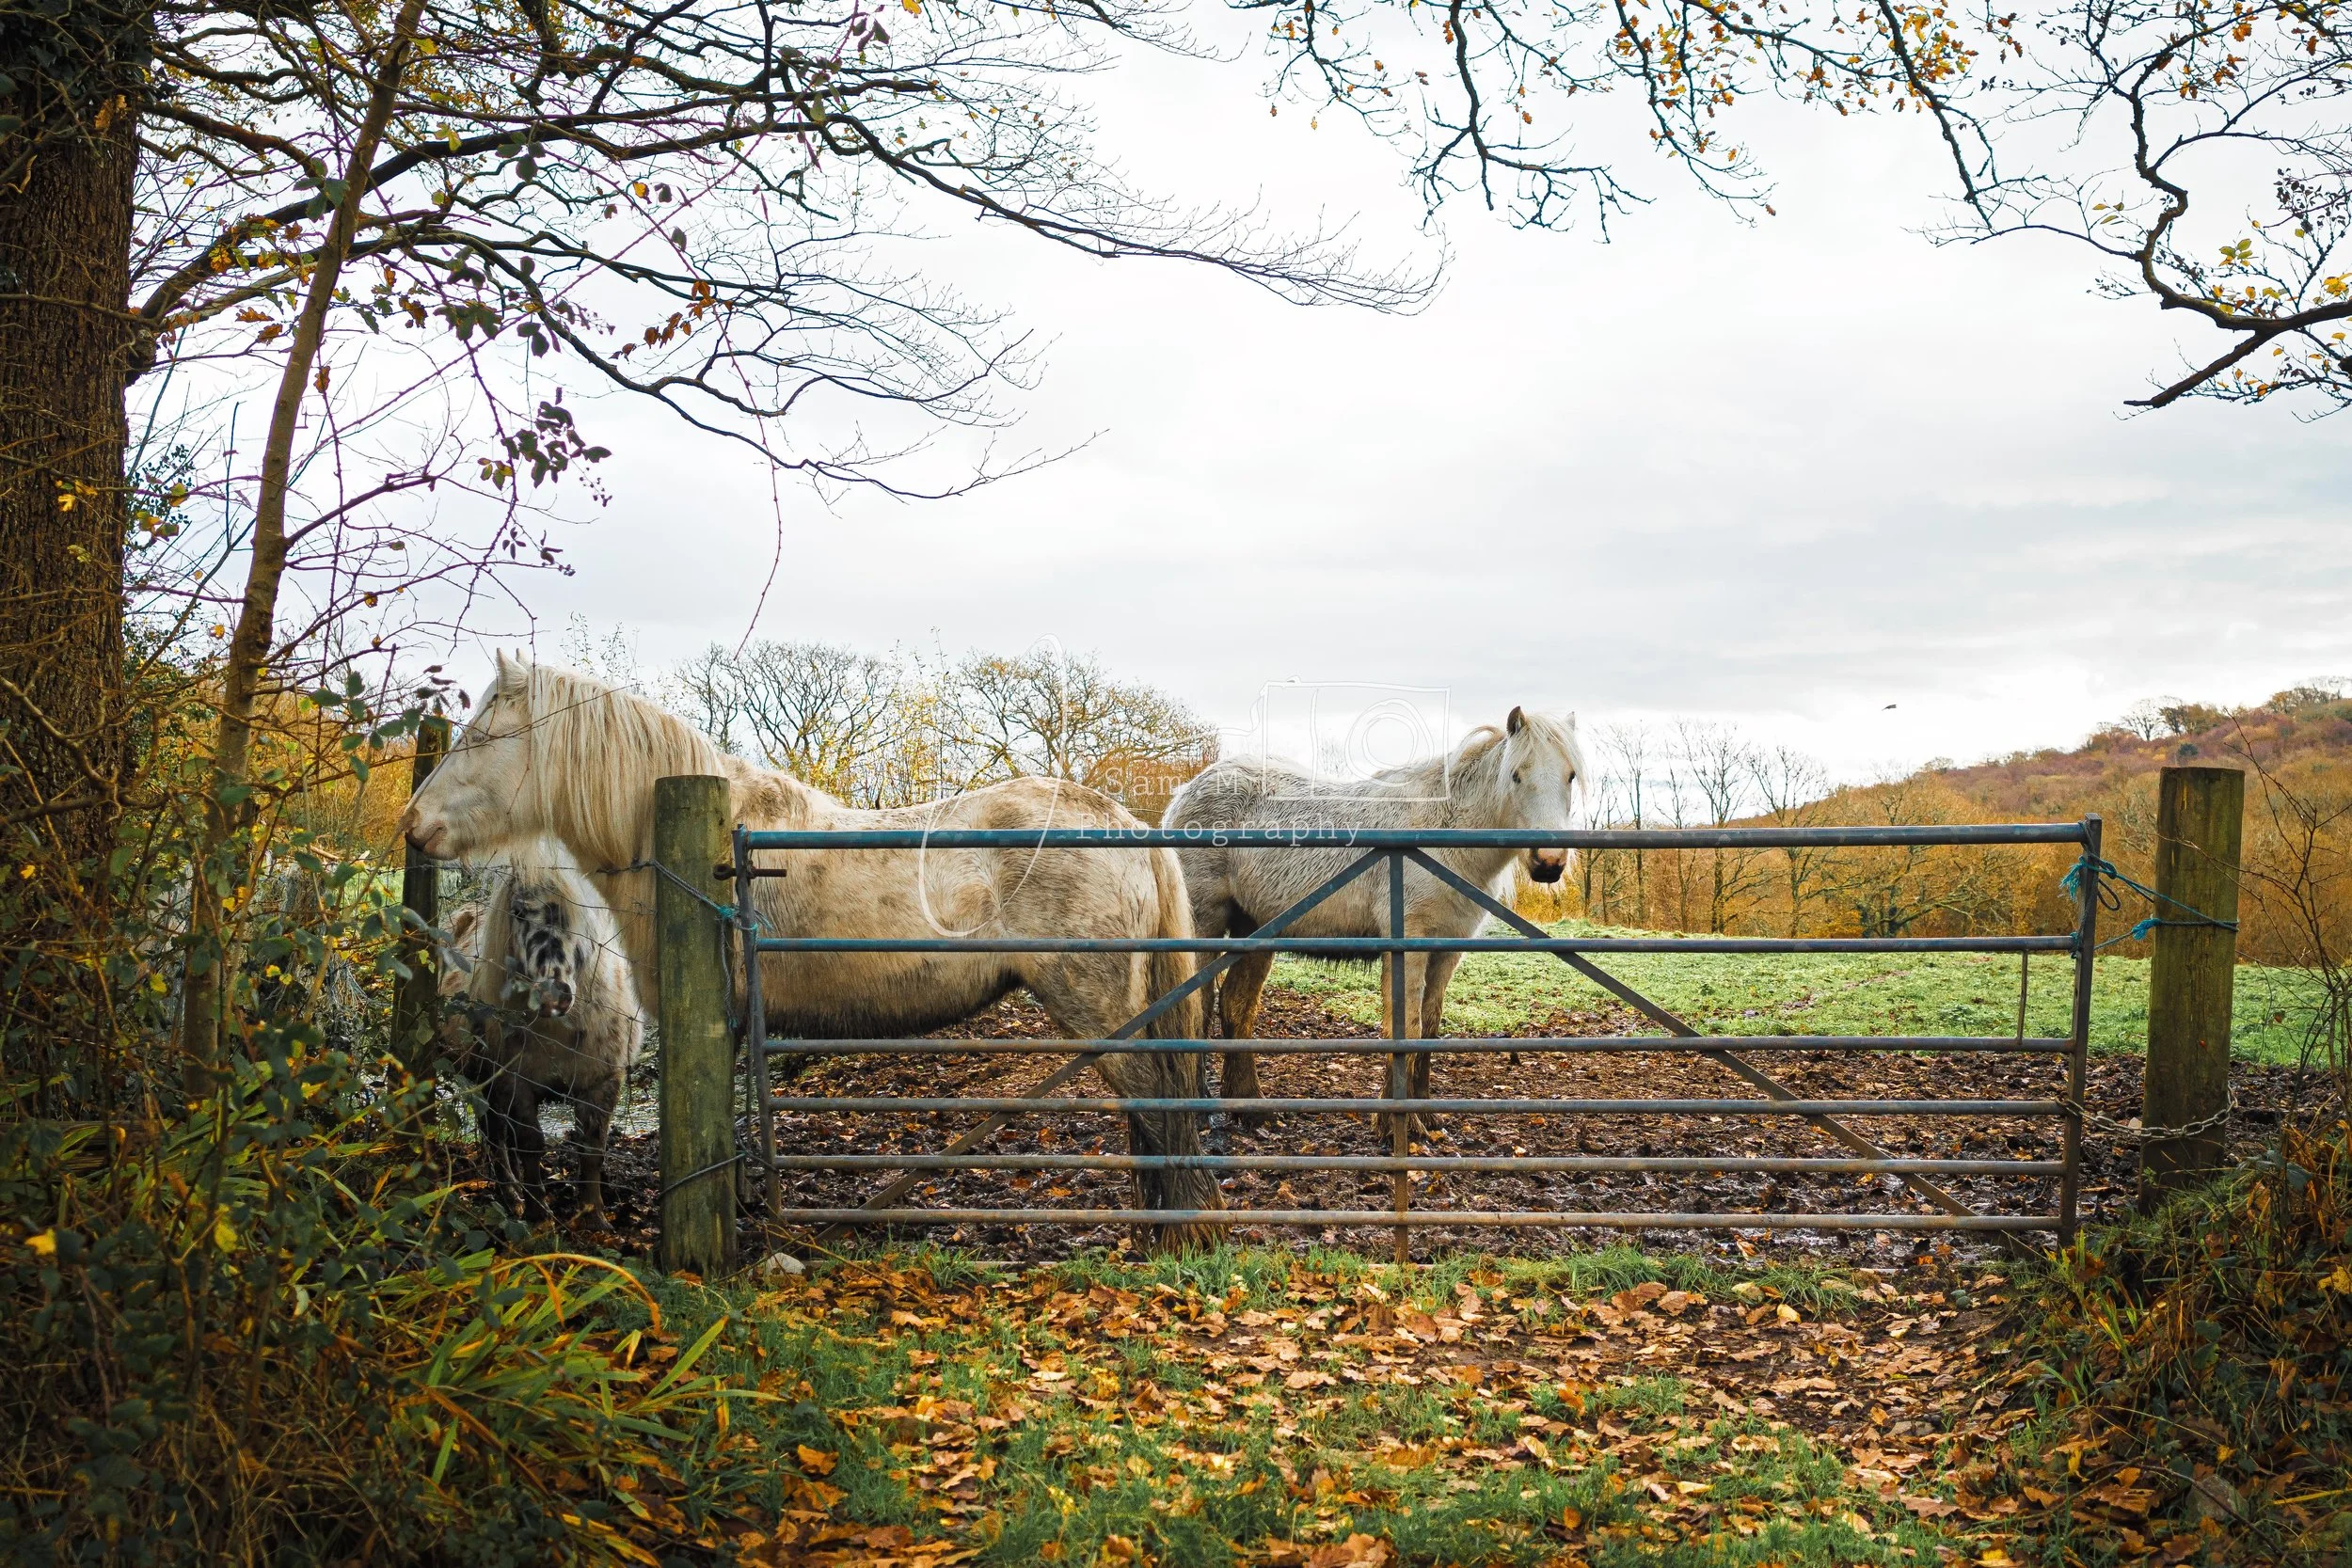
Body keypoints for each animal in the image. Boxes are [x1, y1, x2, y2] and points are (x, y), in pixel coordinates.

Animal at [437, 848, 643, 1225]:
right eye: (518, 912)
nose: (551, 995)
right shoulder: (516, 1084)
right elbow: (530, 1144)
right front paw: (537, 1213)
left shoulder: (602, 1084)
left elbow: (592, 1148)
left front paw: (594, 1216)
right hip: (485, 1082)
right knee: (495, 1136)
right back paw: (512, 1196)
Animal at [1162, 706, 1583, 1127]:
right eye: (1516, 775)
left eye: (1570, 776)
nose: (1549, 862)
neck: (1445, 832)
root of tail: (1186, 792)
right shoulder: (1408, 945)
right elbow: (1406, 1026)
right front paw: (1399, 1124)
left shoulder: (1448, 950)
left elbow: (1429, 1026)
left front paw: (1427, 1117)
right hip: (1206, 925)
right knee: (1197, 1005)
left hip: (1255, 930)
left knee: (1236, 1006)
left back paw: (1250, 1108)